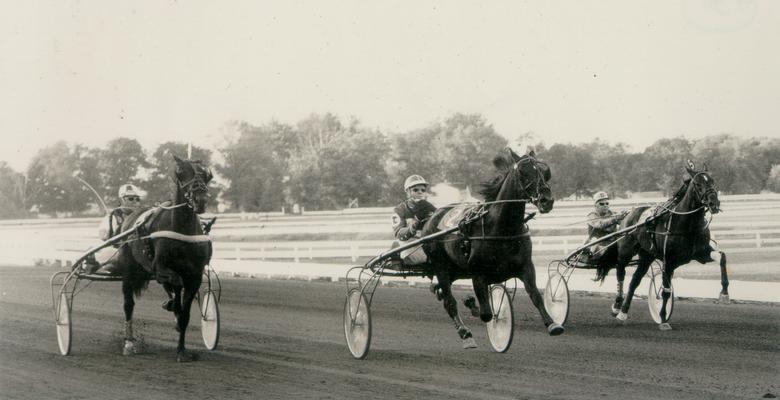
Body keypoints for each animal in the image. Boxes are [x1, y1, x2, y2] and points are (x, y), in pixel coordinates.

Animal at [114, 155, 212, 360]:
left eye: (207, 174)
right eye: (180, 172)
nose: (199, 200)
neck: (182, 230)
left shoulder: (195, 276)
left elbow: (185, 313)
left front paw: (181, 350)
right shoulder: (160, 269)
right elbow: (175, 284)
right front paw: (174, 305)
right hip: (129, 271)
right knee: (128, 305)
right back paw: (129, 343)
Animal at [424, 146, 564, 346]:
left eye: (546, 171)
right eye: (523, 172)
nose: (546, 200)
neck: (502, 229)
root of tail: (432, 216)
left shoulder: (526, 267)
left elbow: (536, 295)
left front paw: (552, 324)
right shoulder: (478, 274)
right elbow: (487, 314)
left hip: (457, 269)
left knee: (441, 290)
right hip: (441, 266)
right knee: (449, 301)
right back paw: (464, 331)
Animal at [596, 161, 724, 330]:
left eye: (713, 181)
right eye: (698, 184)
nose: (713, 203)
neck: (686, 224)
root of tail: (630, 213)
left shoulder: (701, 254)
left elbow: (722, 257)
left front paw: (725, 293)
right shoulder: (668, 261)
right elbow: (666, 291)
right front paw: (663, 319)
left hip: (646, 256)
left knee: (634, 281)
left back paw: (623, 312)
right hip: (625, 252)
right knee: (621, 272)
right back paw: (617, 306)